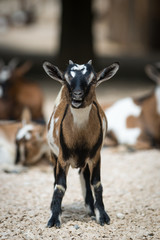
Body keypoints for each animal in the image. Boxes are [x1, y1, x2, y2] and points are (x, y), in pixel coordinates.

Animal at [42, 59, 119, 227]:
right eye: (65, 79)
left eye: (93, 79)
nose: (77, 96)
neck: (79, 138)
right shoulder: (62, 158)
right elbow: (59, 186)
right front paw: (54, 219)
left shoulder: (96, 156)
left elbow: (96, 184)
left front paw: (102, 216)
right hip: (53, 155)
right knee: (55, 179)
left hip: (86, 160)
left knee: (84, 175)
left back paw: (90, 208)